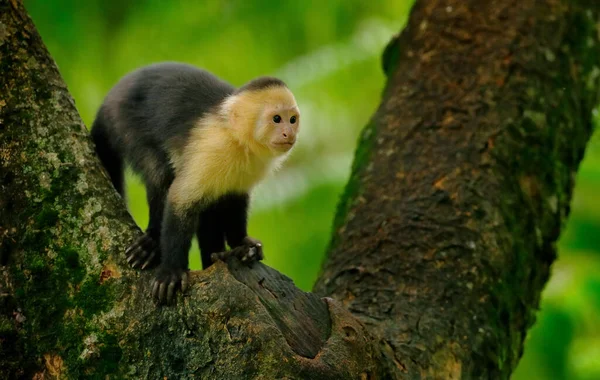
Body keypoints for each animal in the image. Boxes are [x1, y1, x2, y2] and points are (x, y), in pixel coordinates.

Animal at [90, 63, 300, 306]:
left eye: (292, 120)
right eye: (276, 119)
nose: (289, 133)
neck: (237, 138)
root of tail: (110, 97)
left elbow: (235, 200)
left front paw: (243, 244)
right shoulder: (213, 147)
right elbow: (181, 199)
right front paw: (171, 271)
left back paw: (214, 256)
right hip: (125, 121)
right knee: (159, 172)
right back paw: (153, 239)